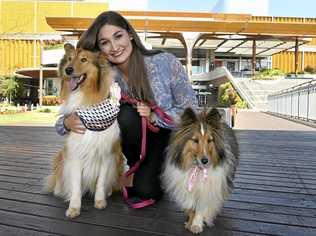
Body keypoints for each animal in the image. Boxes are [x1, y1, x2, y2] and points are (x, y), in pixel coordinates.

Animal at [43, 45, 124, 218]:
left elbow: (100, 182)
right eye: (69, 59)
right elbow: (75, 185)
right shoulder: (75, 153)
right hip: (61, 155)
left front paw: (100, 201)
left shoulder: (106, 154)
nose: (68, 70)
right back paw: (59, 189)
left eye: (84, 59)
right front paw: (74, 207)